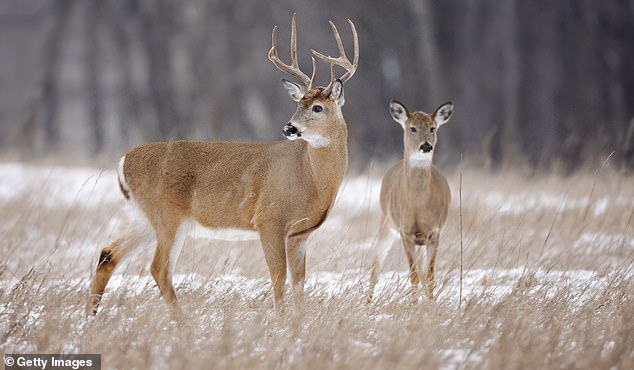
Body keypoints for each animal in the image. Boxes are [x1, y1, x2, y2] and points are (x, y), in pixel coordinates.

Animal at [86, 15, 358, 316]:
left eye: (318, 107)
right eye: (299, 103)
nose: (289, 128)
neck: (311, 179)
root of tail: (123, 161)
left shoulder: (300, 234)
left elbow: (299, 285)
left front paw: (299, 321)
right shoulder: (269, 220)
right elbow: (278, 279)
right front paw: (280, 320)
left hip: (143, 216)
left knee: (108, 254)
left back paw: (91, 318)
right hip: (167, 214)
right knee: (159, 268)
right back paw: (184, 322)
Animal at [366, 99, 454, 302]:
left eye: (432, 128)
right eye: (412, 128)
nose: (426, 146)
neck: (418, 205)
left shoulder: (434, 232)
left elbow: (429, 276)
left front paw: (429, 303)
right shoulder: (405, 232)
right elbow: (413, 276)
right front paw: (414, 304)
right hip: (386, 223)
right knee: (376, 266)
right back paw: (366, 302)